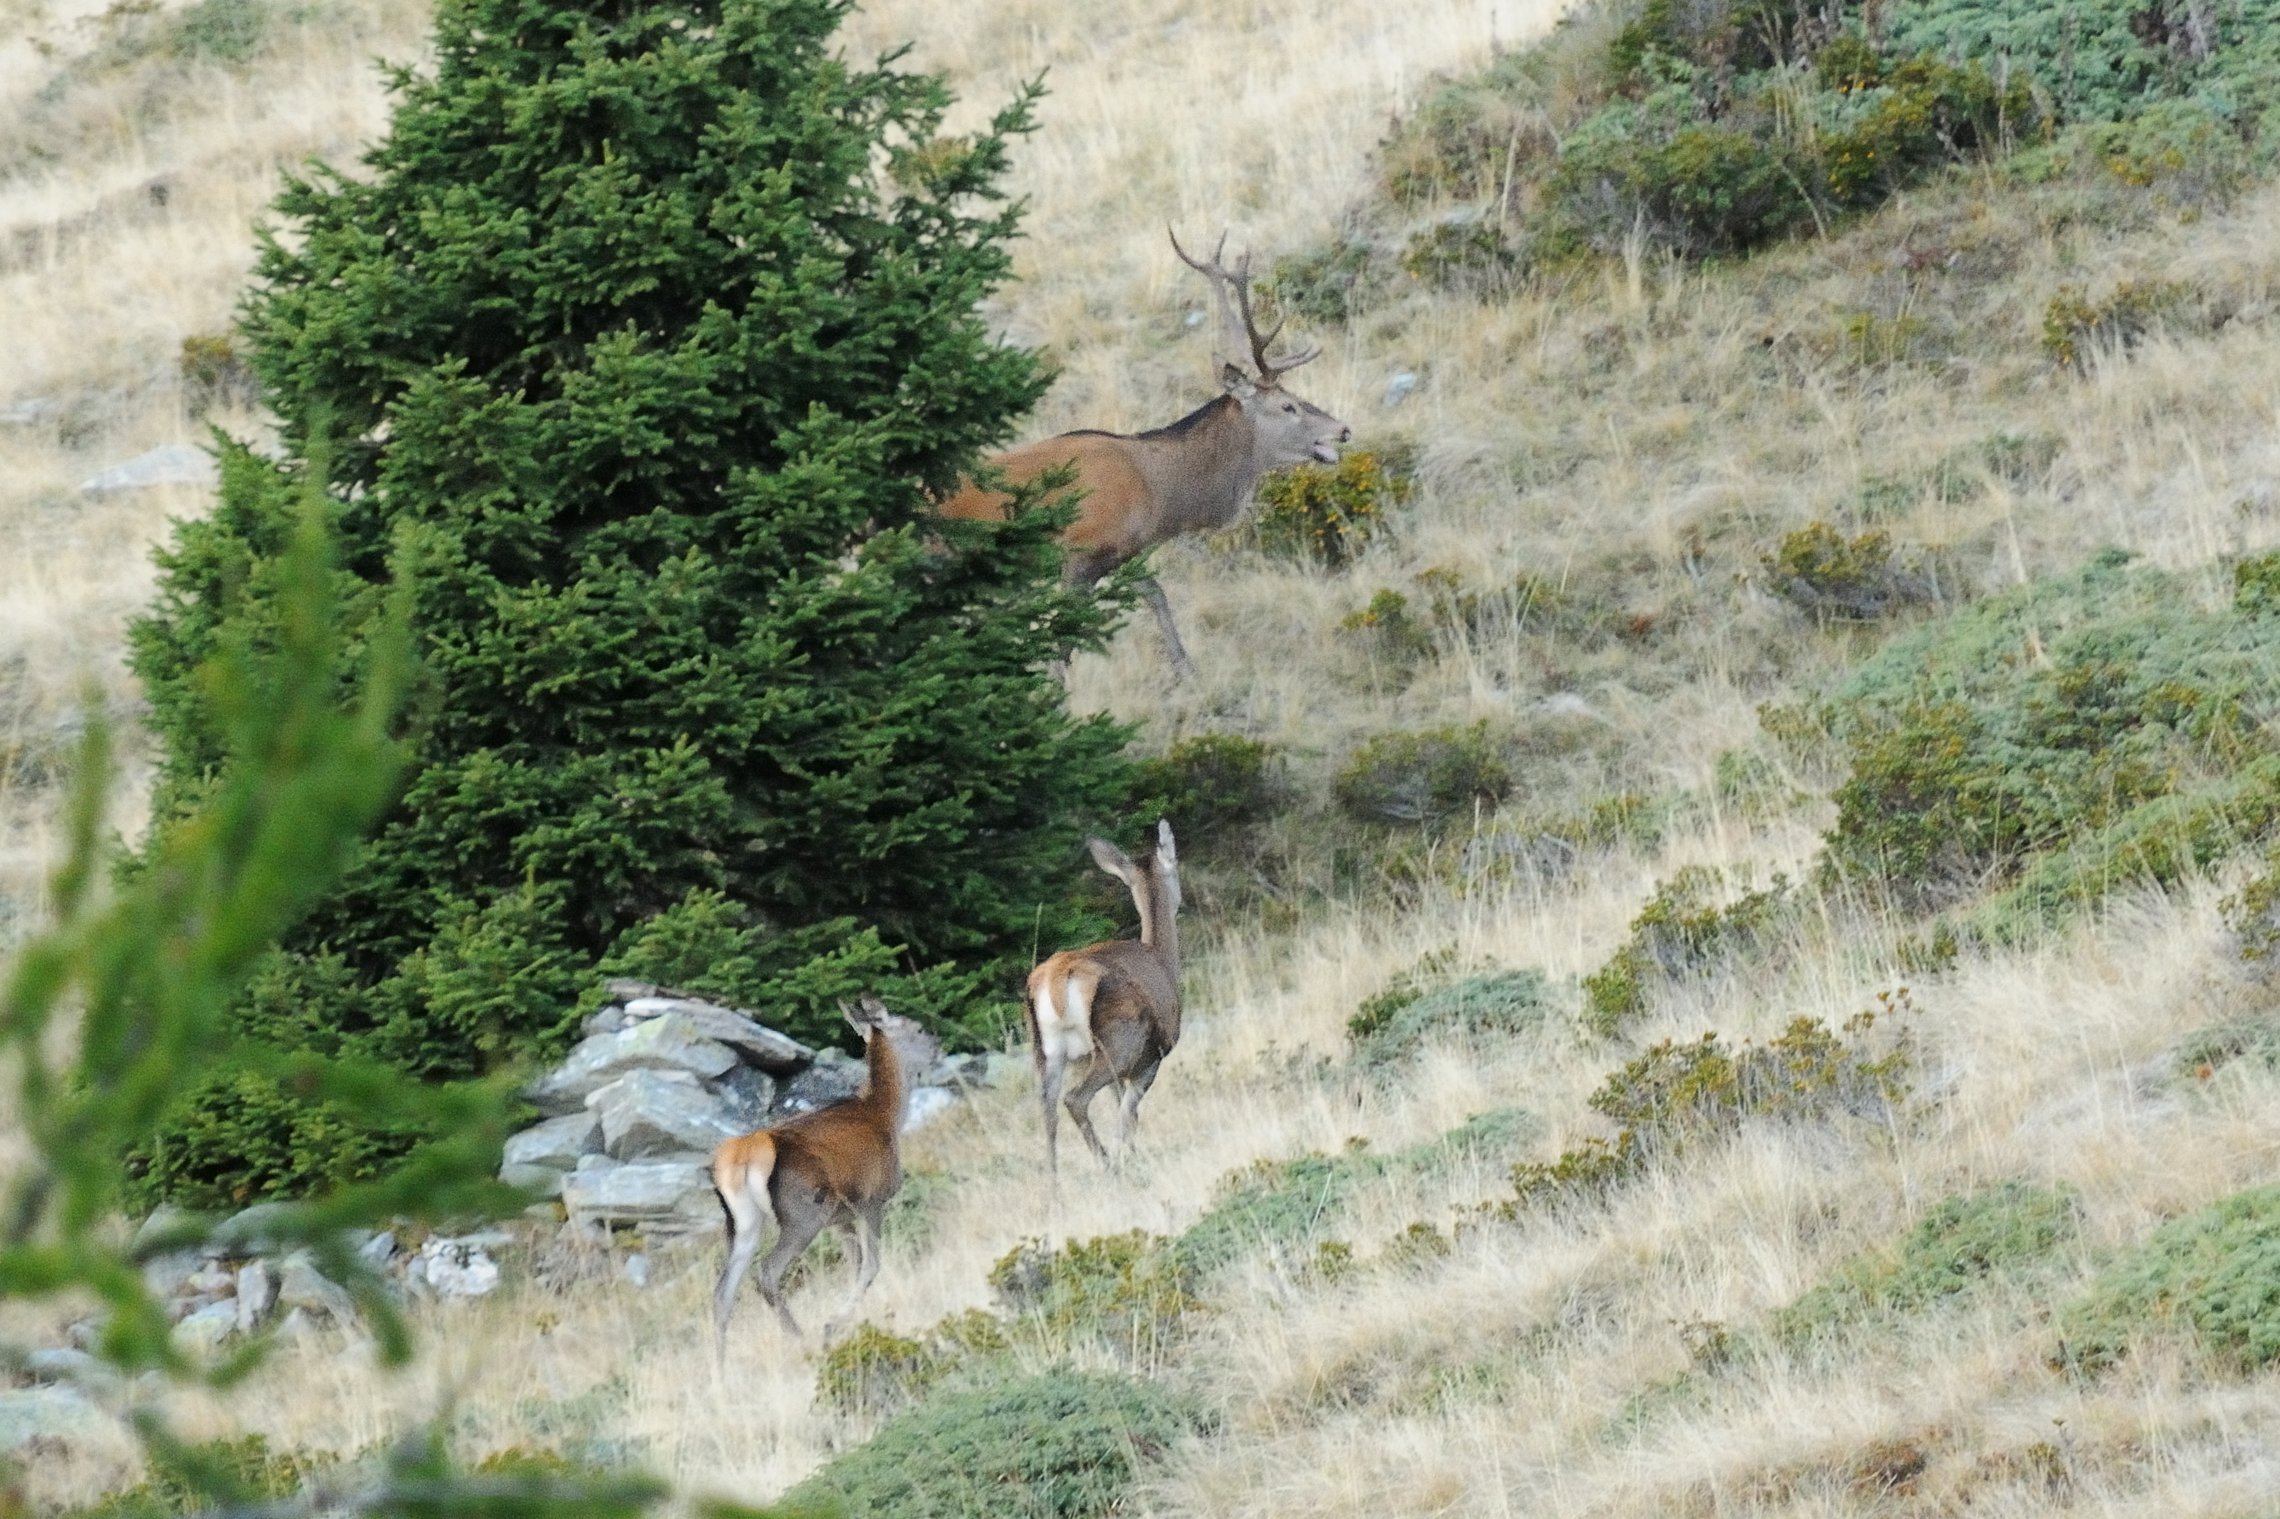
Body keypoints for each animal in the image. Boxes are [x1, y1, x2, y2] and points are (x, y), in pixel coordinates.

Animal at [710, 993, 943, 1355]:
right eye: (917, 1028)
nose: (939, 1046)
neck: (886, 1117)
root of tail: (743, 1155)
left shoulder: (841, 1219)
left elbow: (855, 1266)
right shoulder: (871, 1199)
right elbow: (871, 1265)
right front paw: (834, 1324)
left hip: (743, 1224)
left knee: (722, 1295)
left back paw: (722, 1369)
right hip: (804, 1213)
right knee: (766, 1273)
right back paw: (801, 1339)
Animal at [940, 232, 1350, 677]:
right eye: (1288, 406)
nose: (1343, 429)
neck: (1156, 494)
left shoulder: (1125, 552)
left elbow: (1156, 594)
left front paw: (1187, 671)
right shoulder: (1080, 552)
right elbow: (1063, 638)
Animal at [1027, 819, 1182, 1179]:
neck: (1162, 959)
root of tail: (1058, 979)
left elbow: (1120, 1105)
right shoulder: (1150, 1056)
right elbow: (1128, 1112)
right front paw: (1129, 1155)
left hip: (1049, 1050)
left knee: (1047, 1108)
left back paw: (1054, 1183)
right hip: (1120, 1037)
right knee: (1075, 1099)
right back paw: (1107, 1164)